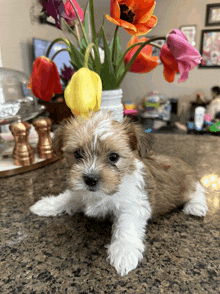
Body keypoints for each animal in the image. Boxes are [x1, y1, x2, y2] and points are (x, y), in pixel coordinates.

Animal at [29, 110, 208, 276]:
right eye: (77, 154)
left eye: (113, 157)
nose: (90, 179)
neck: (103, 193)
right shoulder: (81, 193)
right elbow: (68, 197)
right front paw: (46, 205)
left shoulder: (133, 206)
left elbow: (126, 227)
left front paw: (124, 251)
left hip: (187, 183)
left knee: (197, 189)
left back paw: (196, 206)